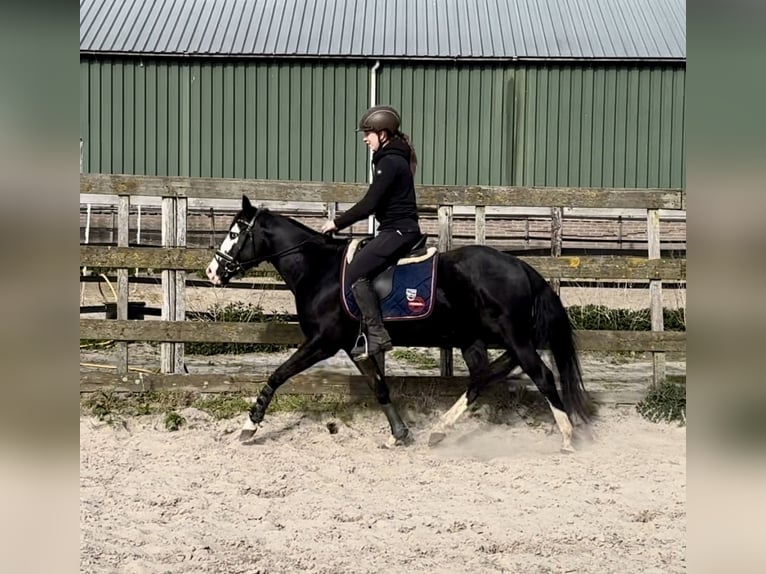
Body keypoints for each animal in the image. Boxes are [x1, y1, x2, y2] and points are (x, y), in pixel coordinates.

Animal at [206, 195, 591, 452]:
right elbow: (380, 388)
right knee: (482, 377)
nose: (212, 272)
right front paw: (400, 434)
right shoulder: (355, 348)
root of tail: (522, 267)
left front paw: (249, 426)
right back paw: (439, 431)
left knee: (542, 376)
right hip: (474, 337)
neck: (320, 270)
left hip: (515, 337)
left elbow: (277, 375)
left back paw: (568, 437)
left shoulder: (323, 342)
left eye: (236, 233)